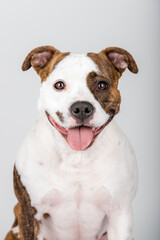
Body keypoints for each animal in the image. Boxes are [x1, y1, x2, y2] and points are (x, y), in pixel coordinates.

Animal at [4, 46, 138, 240]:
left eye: (102, 85)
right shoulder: (28, 211)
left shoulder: (120, 214)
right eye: (59, 85)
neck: (77, 157)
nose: (81, 108)